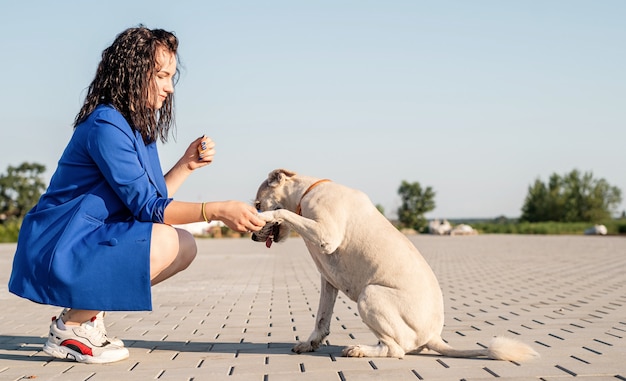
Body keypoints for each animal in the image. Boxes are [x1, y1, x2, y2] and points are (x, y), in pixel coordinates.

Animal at [251, 169, 540, 360]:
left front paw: (267, 215)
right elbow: (322, 319)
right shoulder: (328, 281)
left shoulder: (327, 235)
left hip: (370, 295)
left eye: (257, 204)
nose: (253, 237)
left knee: (395, 350)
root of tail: (433, 336)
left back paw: (359, 349)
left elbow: (281, 211)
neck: (307, 194)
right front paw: (310, 343)